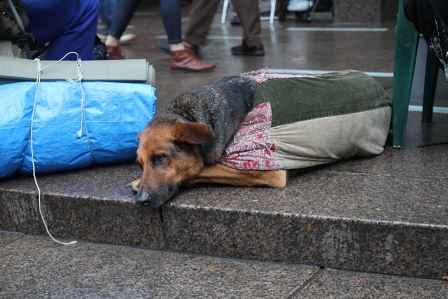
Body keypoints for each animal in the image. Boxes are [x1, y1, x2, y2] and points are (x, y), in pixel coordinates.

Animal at [131, 74, 288, 209]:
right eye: (139, 165)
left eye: (160, 157)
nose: (140, 201)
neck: (187, 114)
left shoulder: (266, 169)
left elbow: (199, 170)